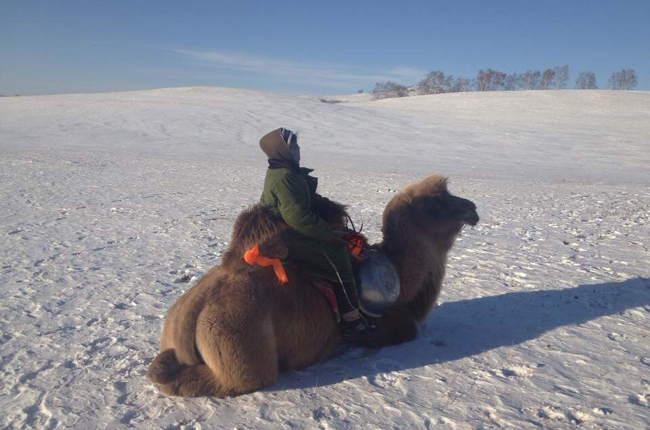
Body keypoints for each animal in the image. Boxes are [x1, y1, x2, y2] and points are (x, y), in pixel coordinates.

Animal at [147, 174, 476, 396]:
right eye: (437, 201)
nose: (472, 208)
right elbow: (404, 329)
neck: (399, 271)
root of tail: (190, 312)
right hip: (239, 342)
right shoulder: (389, 320)